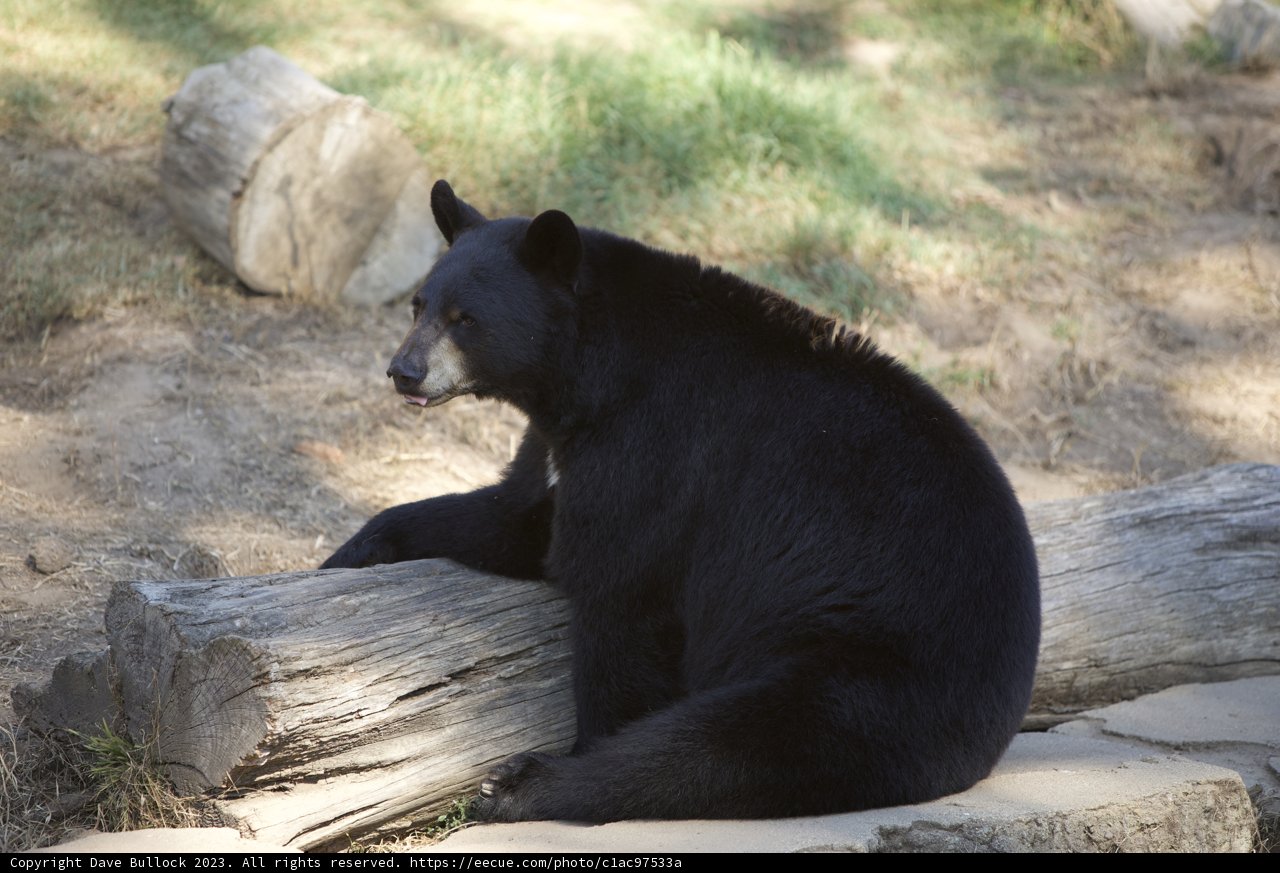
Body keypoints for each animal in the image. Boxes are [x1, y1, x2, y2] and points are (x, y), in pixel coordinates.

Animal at [322, 180, 1041, 823]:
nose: (404, 372)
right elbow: (517, 518)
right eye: (418, 305)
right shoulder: (571, 445)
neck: (590, 370)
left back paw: (524, 785)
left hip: (871, 667)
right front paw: (345, 556)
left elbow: (620, 597)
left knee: (721, 746)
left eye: (466, 319)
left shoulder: (660, 443)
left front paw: (579, 741)